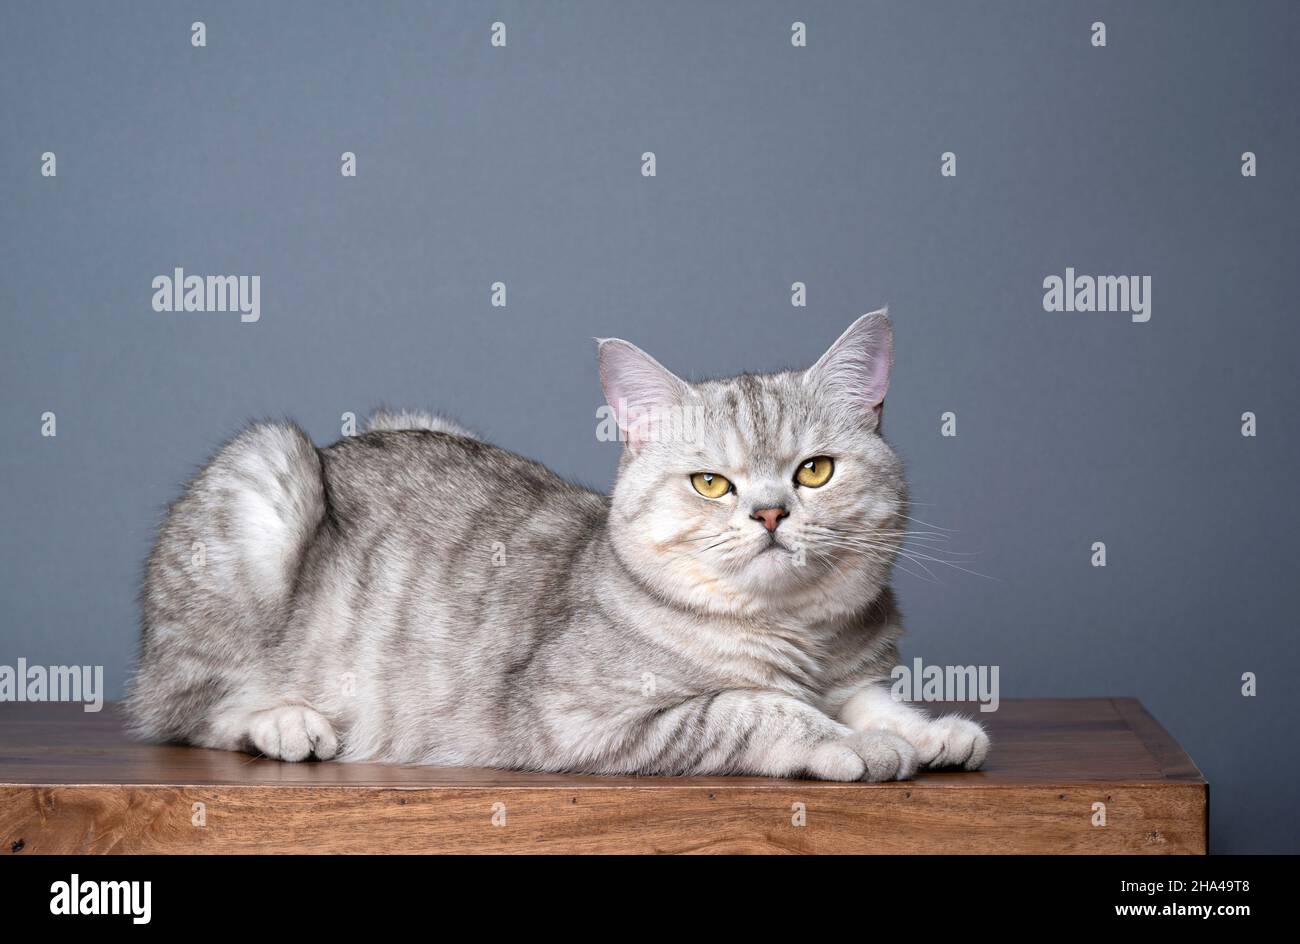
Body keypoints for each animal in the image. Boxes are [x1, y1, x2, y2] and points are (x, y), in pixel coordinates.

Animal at [126, 312, 987, 785]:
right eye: (712, 483)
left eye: (815, 471)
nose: (771, 513)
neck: (798, 634)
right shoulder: (577, 718)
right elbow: (757, 706)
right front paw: (858, 744)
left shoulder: (853, 672)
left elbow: (871, 698)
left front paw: (928, 729)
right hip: (267, 475)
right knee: (187, 707)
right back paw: (284, 722)